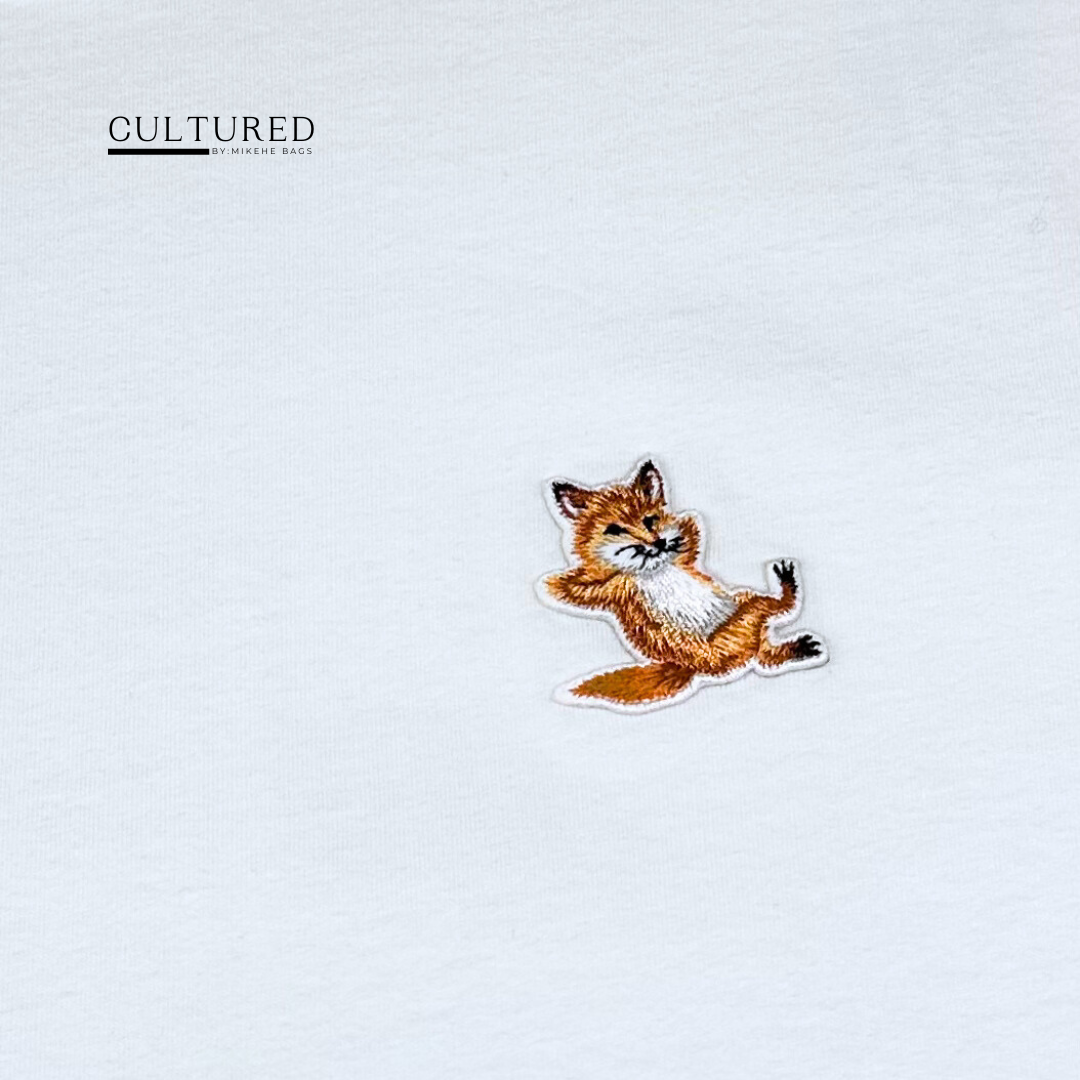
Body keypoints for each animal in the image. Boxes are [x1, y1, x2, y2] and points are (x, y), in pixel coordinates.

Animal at [538, 458, 828, 712]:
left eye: (650, 520)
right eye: (615, 530)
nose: (658, 543)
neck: (652, 570)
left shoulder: (681, 557)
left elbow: (690, 534)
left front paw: (682, 529)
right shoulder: (614, 589)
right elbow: (571, 586)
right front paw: (553, 583)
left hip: (744, 602)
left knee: (769, 649)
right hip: (746, 616)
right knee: (775, 624)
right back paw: (789, 597)